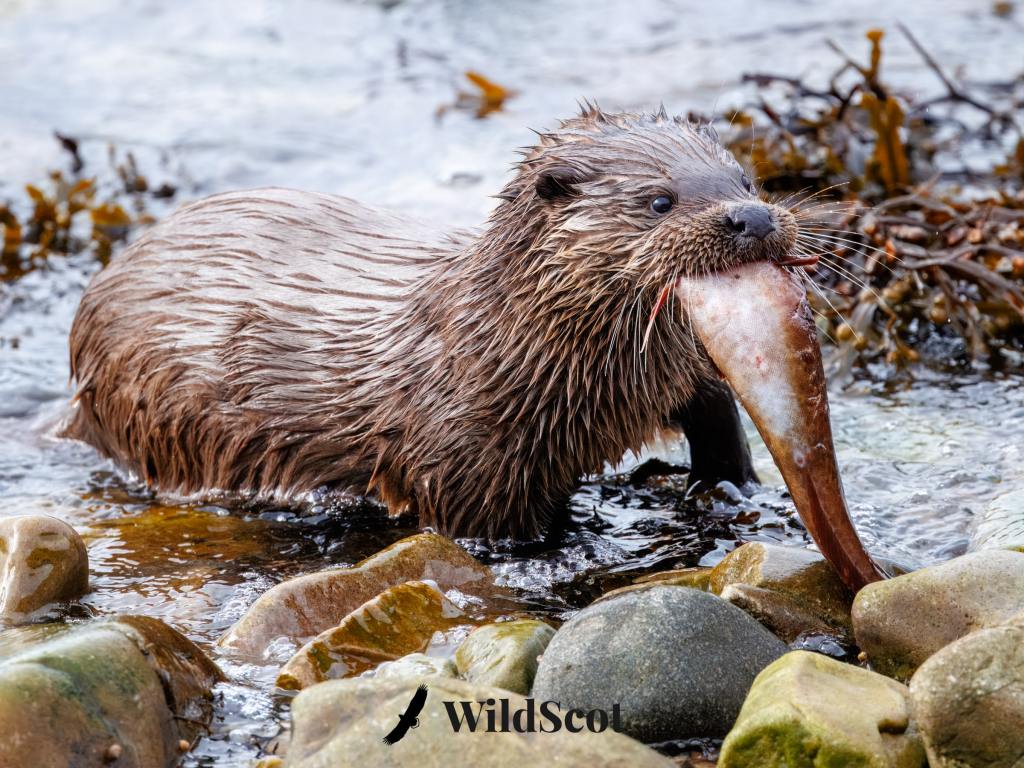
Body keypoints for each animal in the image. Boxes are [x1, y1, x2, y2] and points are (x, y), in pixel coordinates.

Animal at [65, 107, 882, 590]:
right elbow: (496, 524)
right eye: (658, 200)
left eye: (744, 178)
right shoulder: (467, 463)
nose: (752, 217)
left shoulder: (685, 376)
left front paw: (728, 490)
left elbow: (719, 422)